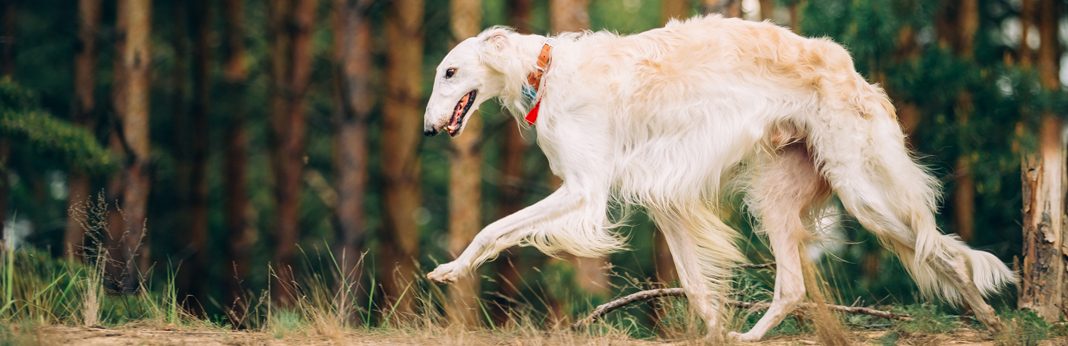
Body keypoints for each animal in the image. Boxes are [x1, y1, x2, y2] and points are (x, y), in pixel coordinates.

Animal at [420, 14, 1012, 339]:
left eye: (449, 71)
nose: (427, 128)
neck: (545, 72)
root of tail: (855, 73)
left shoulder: (585, 188)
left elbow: (494, 229)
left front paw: (451, 268)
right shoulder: (659, 195)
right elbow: (696, 287)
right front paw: (714, 331)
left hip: (864, 192)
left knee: (939, 250)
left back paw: (993, 318)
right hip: (780, 198)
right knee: (796, 287)